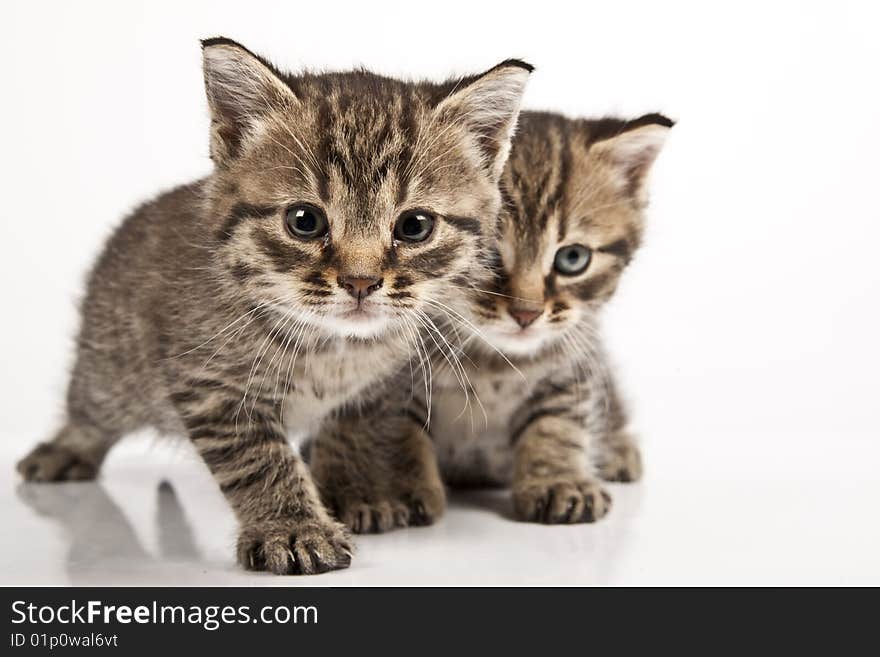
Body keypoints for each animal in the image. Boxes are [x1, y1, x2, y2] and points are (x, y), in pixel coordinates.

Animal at [17, 36, 532, 572]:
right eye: (304, 221)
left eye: (415, 226)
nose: (361, 281)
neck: (333, 347)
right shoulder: (214, 388)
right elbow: (260, 461)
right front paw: (293, 528)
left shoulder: (386, 381)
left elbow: (360, 427)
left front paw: (362, 491)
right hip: (113, 368)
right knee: (89, 406)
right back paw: (64, 448)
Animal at [312, 107, 672, 528]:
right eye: (487, 257)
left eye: (573, 258)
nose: (527, 313)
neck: (490, 359)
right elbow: (398, 429)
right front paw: (398, 485)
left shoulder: (571, 361)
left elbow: (560, 421)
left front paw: (559, 479)